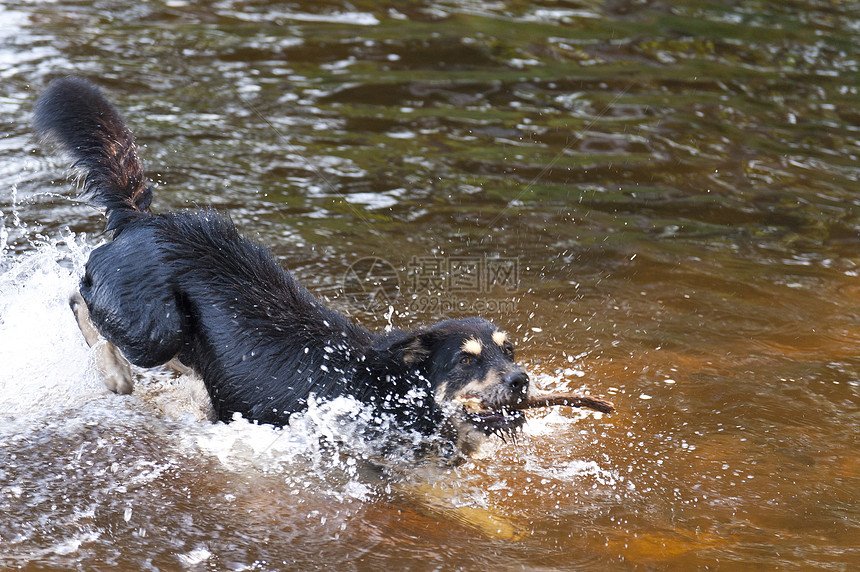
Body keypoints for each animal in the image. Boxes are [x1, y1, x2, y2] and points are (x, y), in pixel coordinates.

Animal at [35, 77, 532, 456]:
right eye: (465, 360)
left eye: (508, 350)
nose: (521, 380)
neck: (386, 387)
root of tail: (143, 220)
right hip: (156, 330)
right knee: (78, 294)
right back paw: (114, 372)